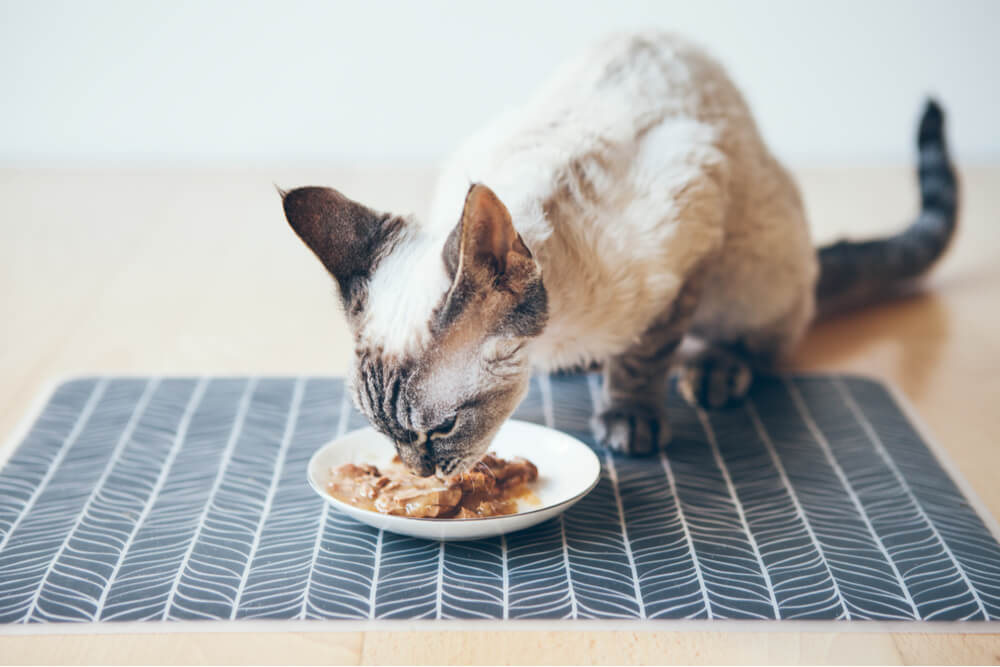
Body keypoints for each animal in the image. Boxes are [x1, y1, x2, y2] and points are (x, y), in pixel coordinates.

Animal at [278, 34, 956, 478]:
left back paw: (714, 370)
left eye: (440, 429)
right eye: (382, 432)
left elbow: (645, 356)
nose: (418, 473)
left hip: (754, 270)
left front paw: (629, 418)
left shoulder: (690, 233)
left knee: (759, 342)